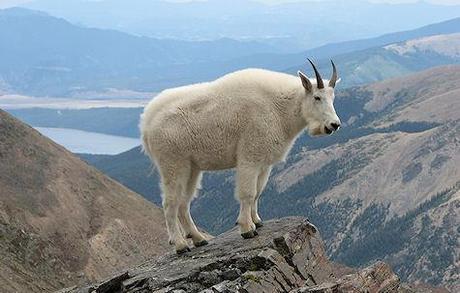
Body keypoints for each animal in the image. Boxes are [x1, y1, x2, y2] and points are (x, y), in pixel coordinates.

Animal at [140, 58, 342, 251]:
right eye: (317, 97)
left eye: (333, 98)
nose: (334, 125)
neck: (281, 107)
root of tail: (146, 124)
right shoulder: (249, 157)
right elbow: (248, 193)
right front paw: (247, 229)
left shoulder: (264, 163)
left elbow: (258, 192)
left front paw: (257, 221)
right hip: (172, 164)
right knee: (170, 204)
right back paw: (180, 245)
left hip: (192, 168)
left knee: (184, 203)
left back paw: (199, 239)